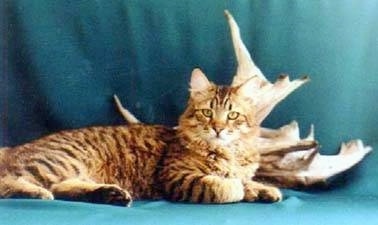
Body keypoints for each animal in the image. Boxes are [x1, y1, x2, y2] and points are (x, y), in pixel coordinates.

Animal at [0, 68, 282, 206]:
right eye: (207, 112)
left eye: (232, 115)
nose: (218, 128)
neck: (229, 151)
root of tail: (12, 149)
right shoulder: (177, 177)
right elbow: (223, 186)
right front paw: (238, 188)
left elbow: (249, 182)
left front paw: (264, 190)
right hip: (58, 162)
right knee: (14, 185)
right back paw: (37, 194)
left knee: (62, 188)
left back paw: (111, 195)